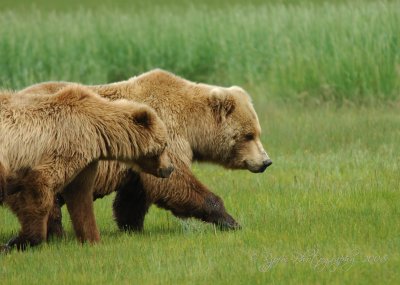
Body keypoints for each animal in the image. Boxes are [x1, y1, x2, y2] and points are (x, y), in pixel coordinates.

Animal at [1, 85, 173, 250]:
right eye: (165, 145)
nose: (170, 168)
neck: (98, 132)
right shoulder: (68, 144)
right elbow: (40, 184)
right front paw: (22, 240)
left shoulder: (85, 162)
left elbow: (81, 199)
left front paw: (93, 240)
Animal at [19, 69, 272, 235]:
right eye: (248, 135)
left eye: (258, 132)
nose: (266, 161)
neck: (191, 125)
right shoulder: (165, 134)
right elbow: (175, 182)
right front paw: (230, 221)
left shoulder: (143, 160)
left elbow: (135, 195)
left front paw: (131, 228)